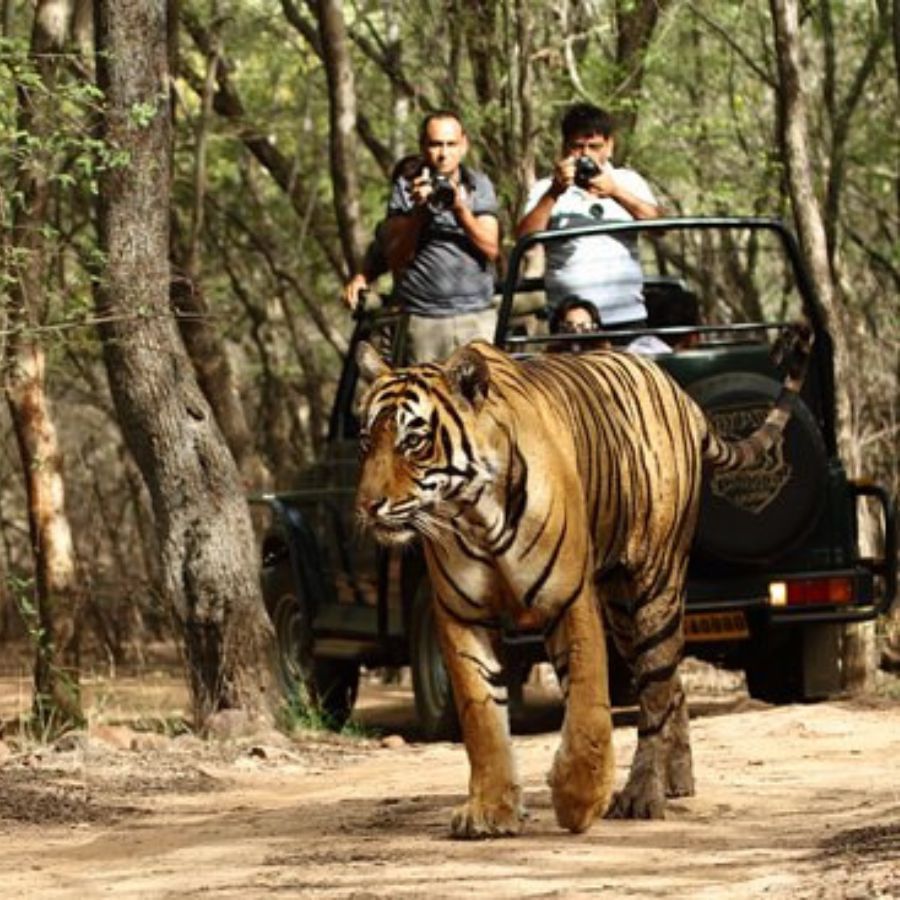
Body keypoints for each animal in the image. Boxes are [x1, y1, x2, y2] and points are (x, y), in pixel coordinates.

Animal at [356, 326, 812, 840]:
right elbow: (482, 718)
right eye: (365, 440)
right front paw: (490, 810)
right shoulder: (461, 614)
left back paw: (641, 795)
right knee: (670, 682)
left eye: (414, 441)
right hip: (622, 609)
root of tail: (679, 392)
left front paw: (579, 799)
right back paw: (678, 779)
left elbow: (589, 705)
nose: (367, 506)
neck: (474, 514)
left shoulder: (569, 599)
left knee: (655, 691)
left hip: (655, 585)